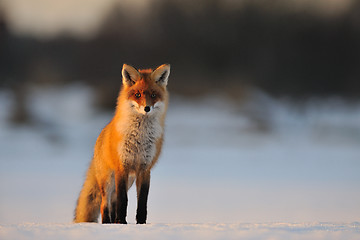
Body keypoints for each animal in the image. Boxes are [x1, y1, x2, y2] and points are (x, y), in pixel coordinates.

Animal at [74, 63, 171, 223]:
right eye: (137, 95)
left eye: (153, 95)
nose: (147, 108)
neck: (140, 138)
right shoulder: (122, 166)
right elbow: (123, 200)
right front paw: (121, 223)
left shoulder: (145, 169)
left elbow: (142, 201)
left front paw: (140, 223)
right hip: (108, 180)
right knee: (104, 204)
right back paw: (108, 223)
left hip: (129, 180)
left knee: (113, 202)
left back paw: (114, 221)